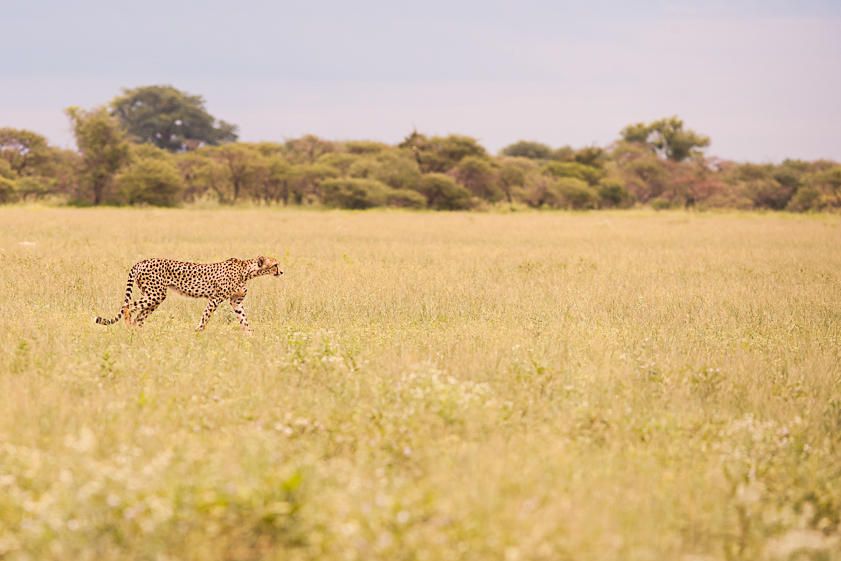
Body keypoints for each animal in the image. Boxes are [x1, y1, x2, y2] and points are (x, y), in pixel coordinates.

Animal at [95, 256, 282, 332]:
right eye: (275, 265)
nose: (282, 272)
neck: (246, 271)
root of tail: (141, 261)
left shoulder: (236, 302)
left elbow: (244, 320)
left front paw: (251, 336)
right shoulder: (215, 299)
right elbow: (205, 318)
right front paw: (198, 332)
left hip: (154, 296)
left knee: (139, 316)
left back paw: (138, 332)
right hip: (156, 294)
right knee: (128, 306)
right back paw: (128, 328)